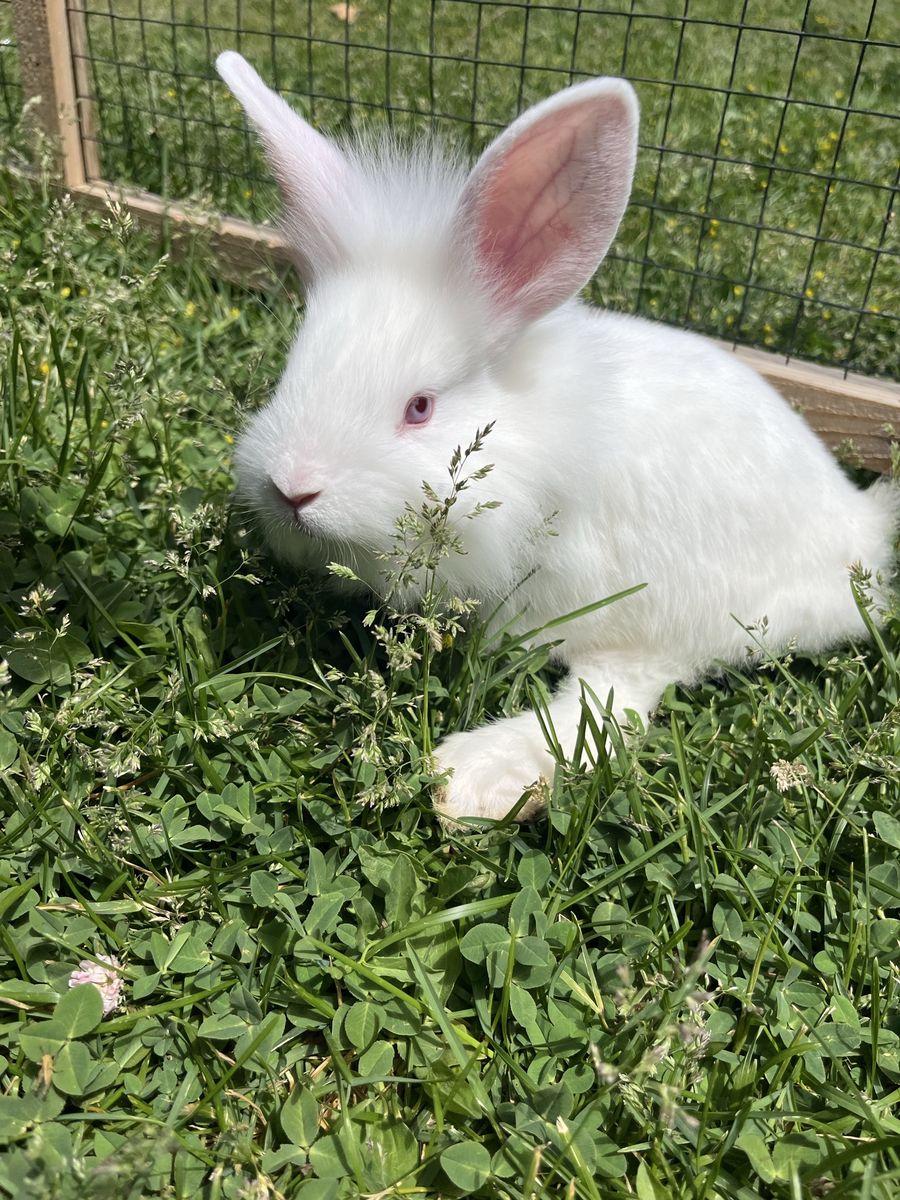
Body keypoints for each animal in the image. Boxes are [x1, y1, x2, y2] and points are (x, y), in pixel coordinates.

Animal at [216, 51, 897, 823]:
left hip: (662, 612)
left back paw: (469, 781)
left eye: (419, 407)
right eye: (291, 369)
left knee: (611, 703)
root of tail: (859, 530)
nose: (291, 487)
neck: (533, 439)